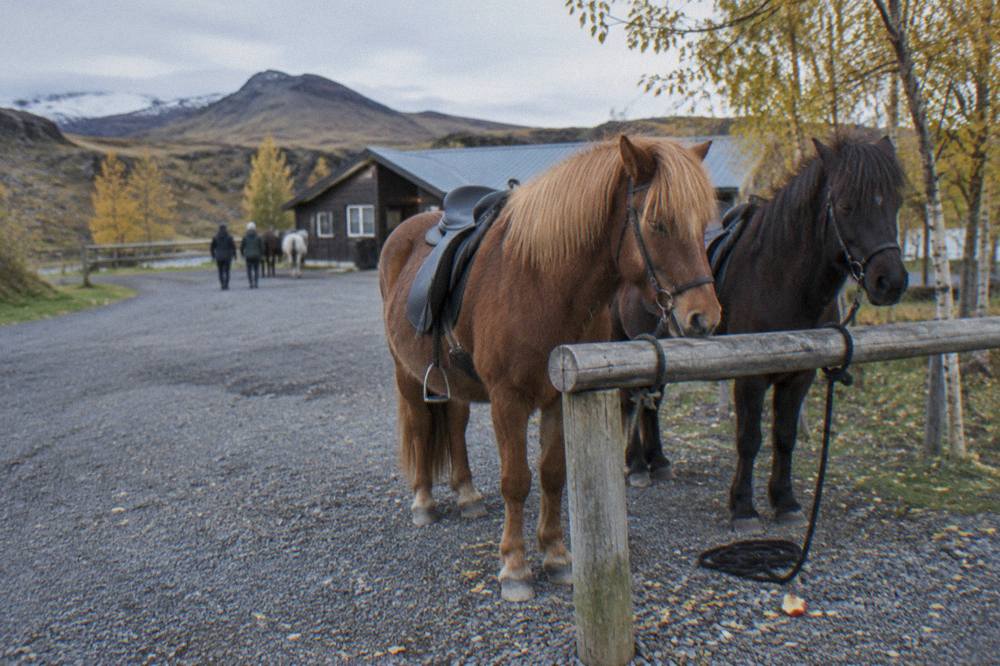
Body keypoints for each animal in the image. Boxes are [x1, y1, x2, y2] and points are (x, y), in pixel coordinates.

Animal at [379, 135, 722, 602]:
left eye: (704, 223)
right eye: (659, 224)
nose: (704, 317)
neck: (541, 283)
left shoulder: (560, 395)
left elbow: (553, 474)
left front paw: (557, 555)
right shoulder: (508, 401)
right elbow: (516, 480)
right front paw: (515, 567)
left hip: (452, 380)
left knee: (454, 423)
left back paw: (467, 495)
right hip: (408, 374)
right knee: (418, 426)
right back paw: (424, 502)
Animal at [615, 135, 908, 531]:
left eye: (895, 203)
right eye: (847, 205)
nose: (891, 282)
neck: (779, 276)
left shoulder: (801, 375)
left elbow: (784, 436)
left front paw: (785, 501)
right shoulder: (750, 377)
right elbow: (749, 439)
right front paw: (743, 507)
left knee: (652, 400)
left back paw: (657, 461)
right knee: (633, 398)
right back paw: (636, 465)